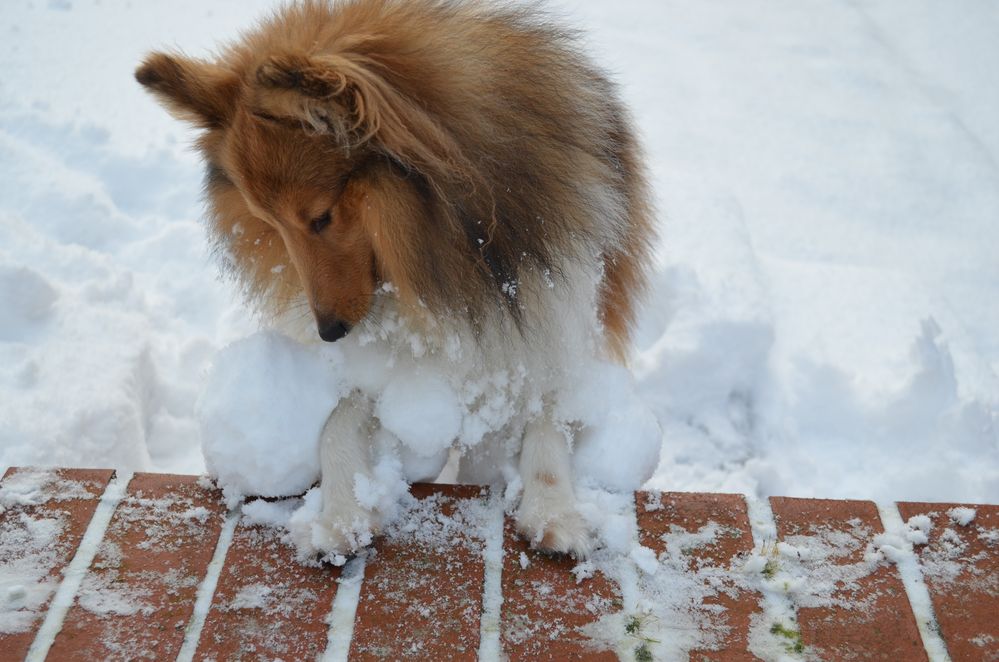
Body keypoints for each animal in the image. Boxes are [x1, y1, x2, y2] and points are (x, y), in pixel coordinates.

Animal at [137, 0, 652, 560]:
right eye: (269, 222)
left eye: (320, 217)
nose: (329, 332)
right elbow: (336, 423)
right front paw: (341, 514)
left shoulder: (555, 322)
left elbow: (548, 419)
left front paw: (553, 511)